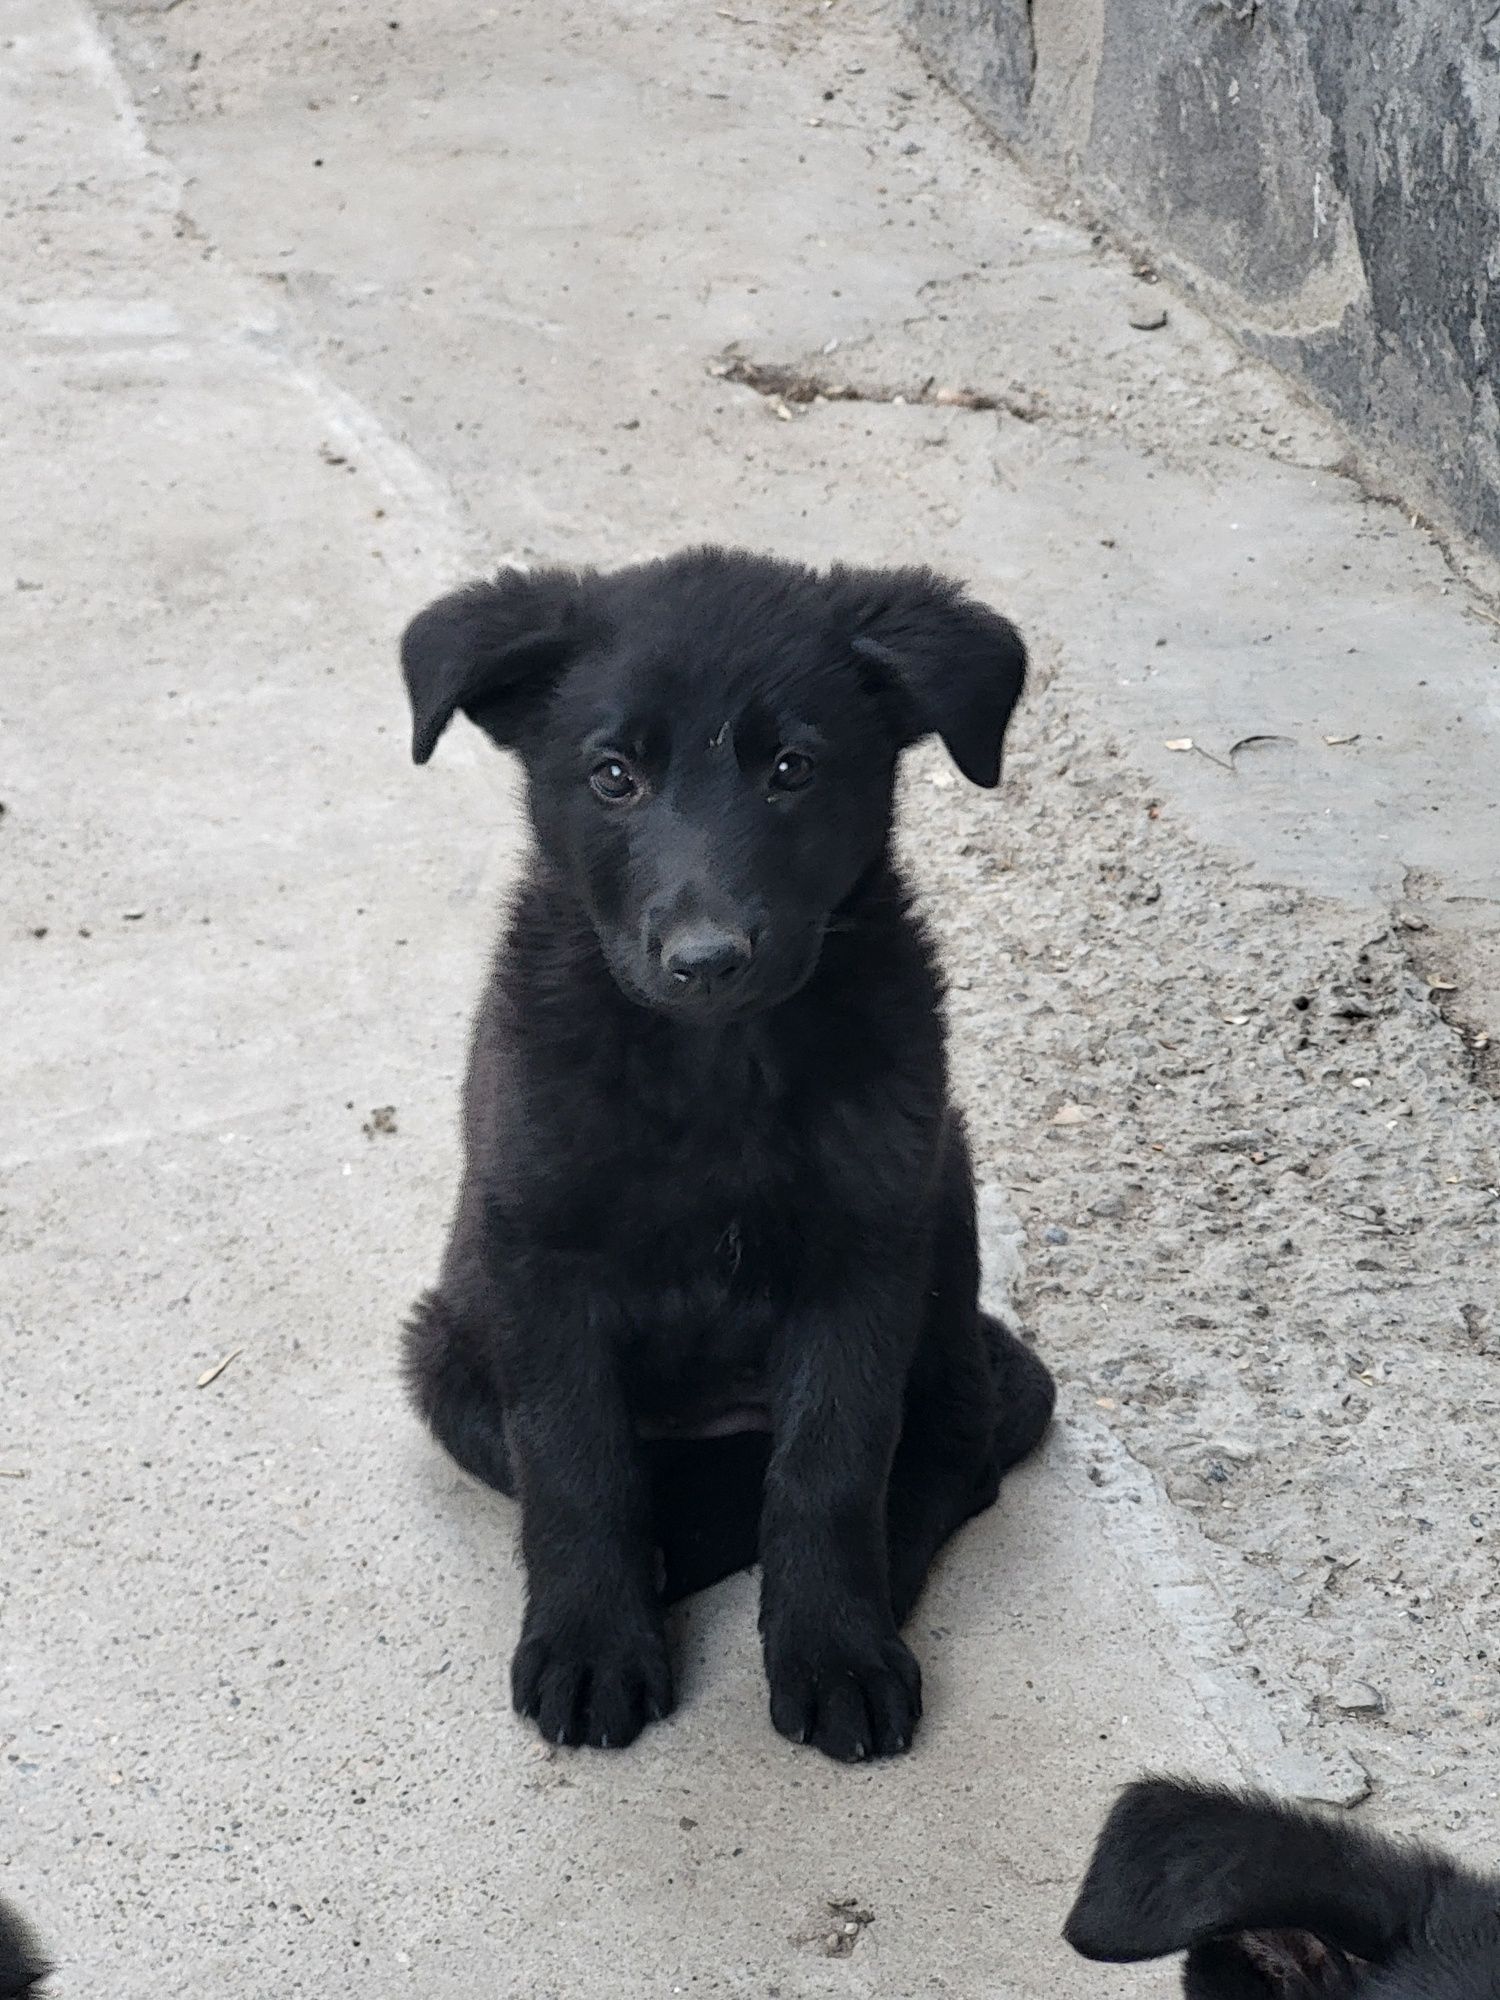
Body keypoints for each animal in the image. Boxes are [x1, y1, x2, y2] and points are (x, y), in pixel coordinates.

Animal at [400, 540, 1056, 1760]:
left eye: (793, 768)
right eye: (614, 777)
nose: (708, 958)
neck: (715, 1064)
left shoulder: (864, 1256)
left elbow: (831, 1465)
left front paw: (832, 1646)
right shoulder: (539, 1258)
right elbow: (575, 1464)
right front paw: (593, 1642)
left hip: (942, 1228)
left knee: (956, 1438)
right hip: (445, 1351)